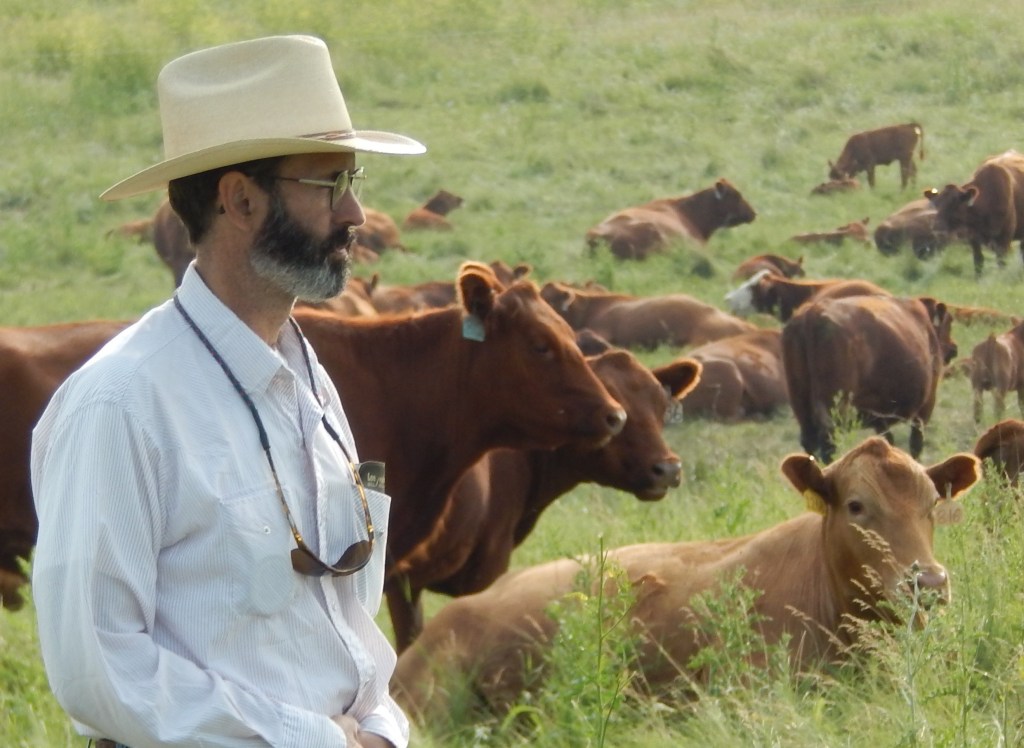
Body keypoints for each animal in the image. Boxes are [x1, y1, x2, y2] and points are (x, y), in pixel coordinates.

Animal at [782, 294, 957, 462]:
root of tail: (812, 314)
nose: (954, 348)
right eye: (948, 323)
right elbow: (916, 444)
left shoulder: (880, 417)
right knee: (828, 444)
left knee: (810, 443)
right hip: (834, 407)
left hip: (801, 406)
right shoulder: (925, 407)